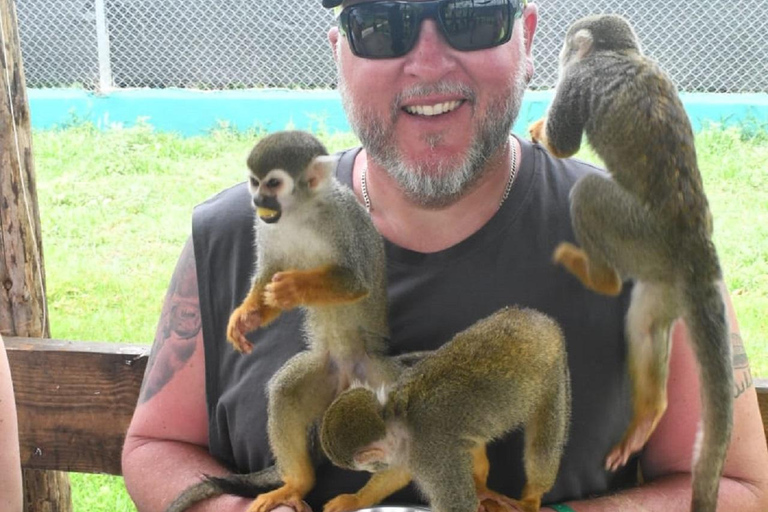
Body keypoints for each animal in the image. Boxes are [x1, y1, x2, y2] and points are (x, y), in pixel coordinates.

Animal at [166, 130, 403, 512]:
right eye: (254, 182)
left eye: (274, 184)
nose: (258, 199)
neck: (300, 213)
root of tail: (347, 379)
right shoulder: (264, 227)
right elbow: (268, 274)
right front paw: (246, 315)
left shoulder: (344, 221)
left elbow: (356, 283)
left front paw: (294, 287)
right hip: (324, 373)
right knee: (285, 392)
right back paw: (296, 484)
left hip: (378, 377)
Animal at [319, 307, 571, 512]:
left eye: (367, 466)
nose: (372, 469)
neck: (399, 418)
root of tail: (536, 318)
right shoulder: (410, 449)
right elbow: (398, 473)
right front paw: (355, 500)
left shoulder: (430, 452)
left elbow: (458, 504)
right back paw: (481, 486)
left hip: (554, 373)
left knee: (543, 442)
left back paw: (532, 498)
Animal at [528, 14, 733, 512]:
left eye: (568, 50)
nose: (561, 53)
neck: (621, 54)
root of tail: (697, 244)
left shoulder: (580, 78)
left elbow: (565, 143)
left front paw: (541, 129)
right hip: (663, 270)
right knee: (644, 327)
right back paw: (649, 414)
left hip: (641, 233)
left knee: (588, 193)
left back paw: (599, 277)